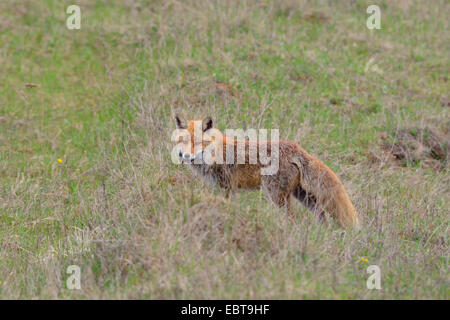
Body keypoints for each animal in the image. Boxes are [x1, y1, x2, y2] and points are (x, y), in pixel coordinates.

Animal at [174, 114, 360, 228]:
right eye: (183, 141)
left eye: (198, 142)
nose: (184, 155)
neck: (216, 153)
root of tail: (297, 149)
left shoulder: (226, 187)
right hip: (302, 197)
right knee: (322, 217)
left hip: (277, 196)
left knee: (292, 219)